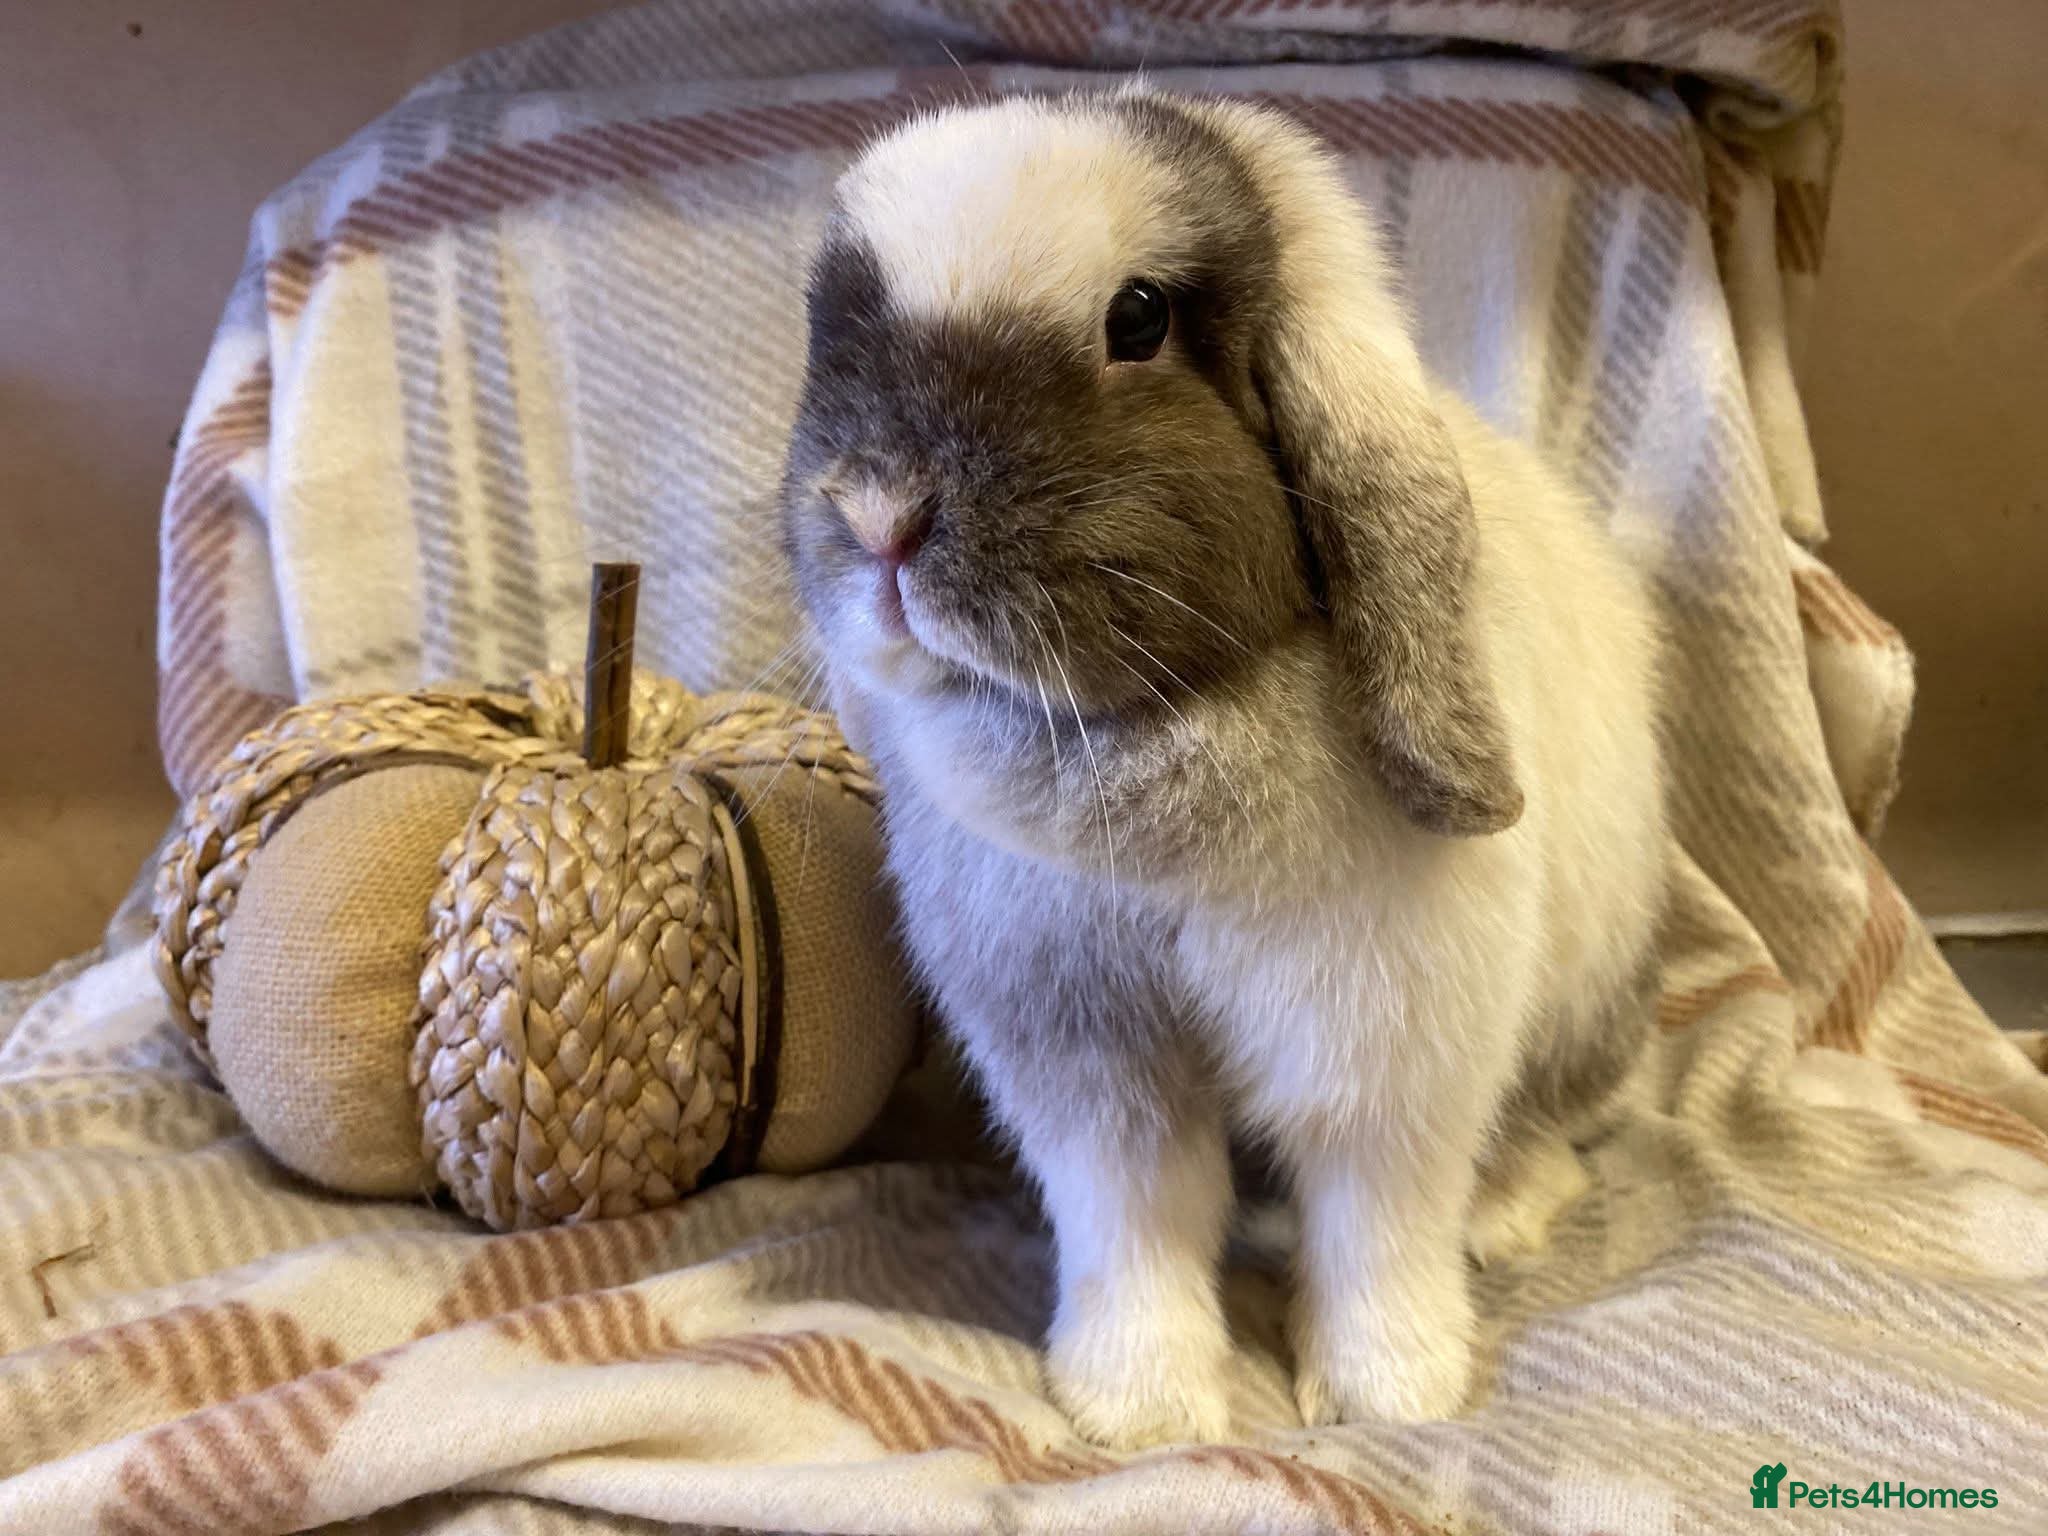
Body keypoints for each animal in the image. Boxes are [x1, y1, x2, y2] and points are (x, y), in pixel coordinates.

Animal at [777, 85, 1666, 1450]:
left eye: (1137, 318)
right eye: (837, 331)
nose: (878, 516)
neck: (1139, 747)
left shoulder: (1385, 1055)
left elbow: (1376, 1223)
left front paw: (1387, 1396)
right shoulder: (1087, 1063)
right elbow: (1137, 1220)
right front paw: (1133, 1410)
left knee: (1536, 1135)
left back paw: (1501, 1216)